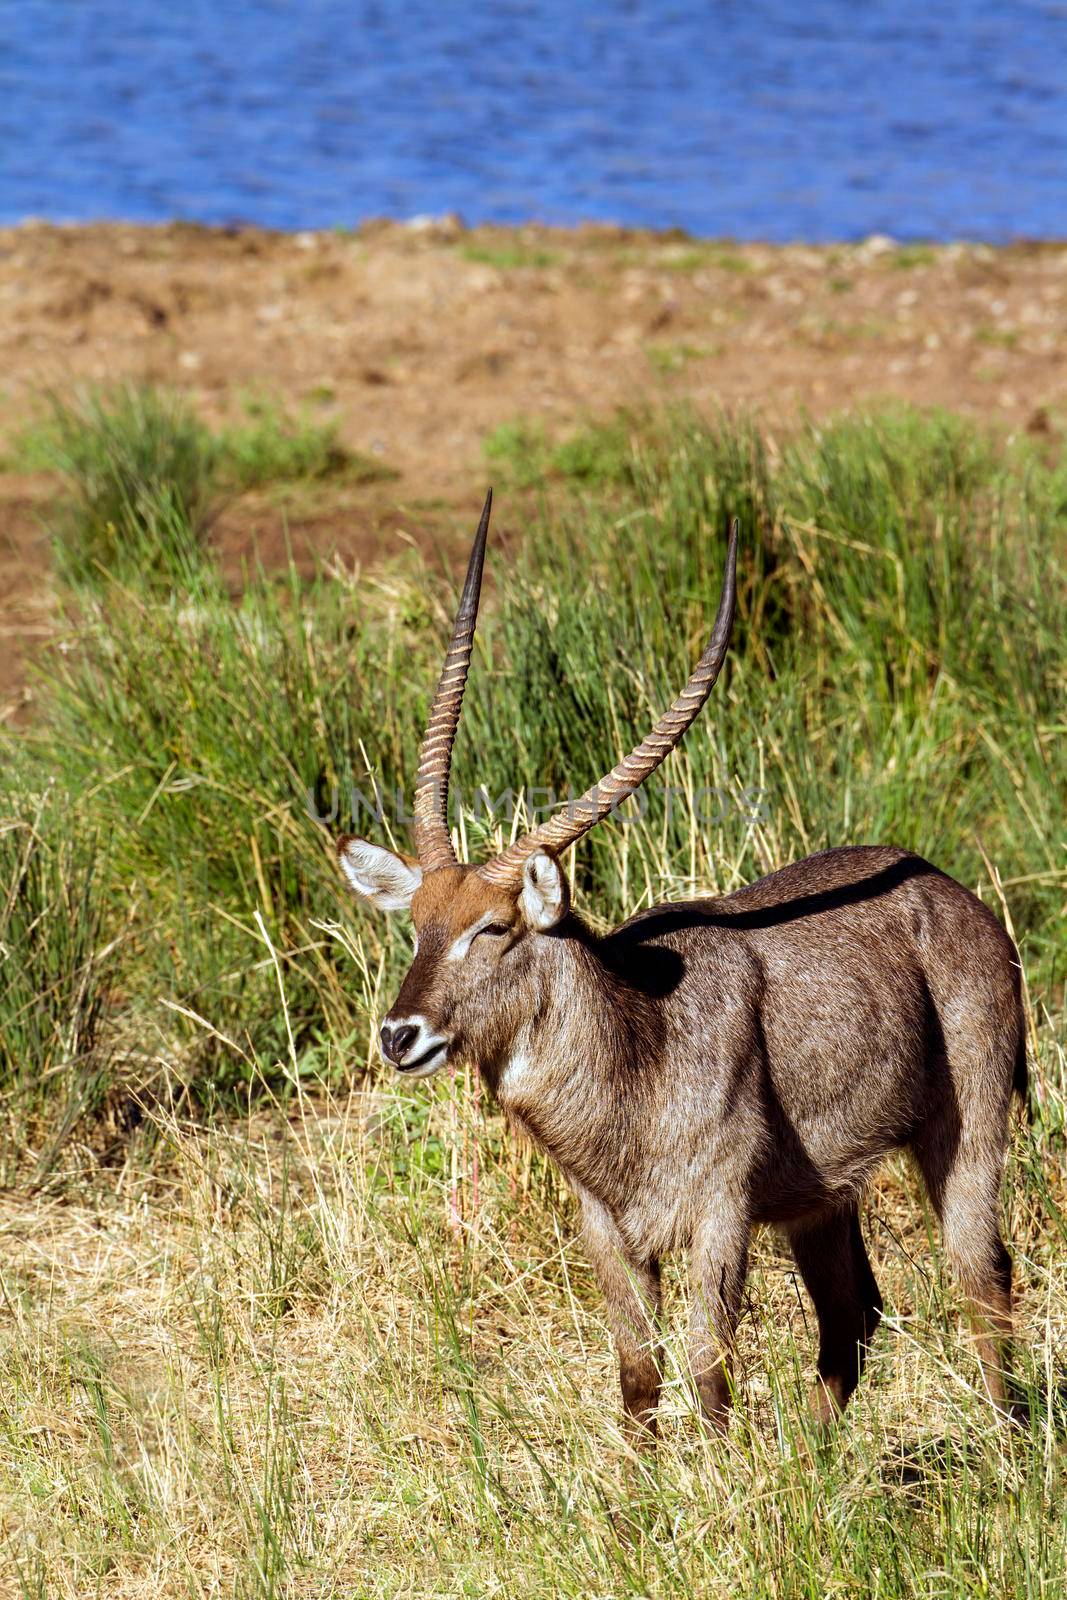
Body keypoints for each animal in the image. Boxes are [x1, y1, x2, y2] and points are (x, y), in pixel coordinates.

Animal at [337, 489, 1030, 1440]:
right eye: (415, 926)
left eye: (494, 927)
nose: (400, 1035)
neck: (638, 1034)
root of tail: (952, 891)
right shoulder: (603, 1226)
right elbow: (637, 1376)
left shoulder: (719, 1216)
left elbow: (707, 1375)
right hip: (820, 1200)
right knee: (851, 1317)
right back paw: (815, 1465)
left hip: (963, 1136)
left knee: (980, 1276)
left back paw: (1007, 1448)